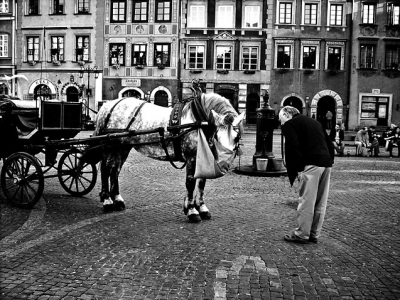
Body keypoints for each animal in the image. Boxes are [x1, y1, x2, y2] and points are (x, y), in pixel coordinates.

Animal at [93, 92, 244, 221]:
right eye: (217, 136)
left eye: (236, 138)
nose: (223, 166)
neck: (198, 121)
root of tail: (108, 105)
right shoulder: (192, 157)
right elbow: (190, 183)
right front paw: (191, 211)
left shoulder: (205, 158)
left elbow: (201, 182)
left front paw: (201, 208)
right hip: (109, 147)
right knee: (106, 170)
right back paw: (107, 201)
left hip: (122, 147)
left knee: (115, 171)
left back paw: (117, 199)